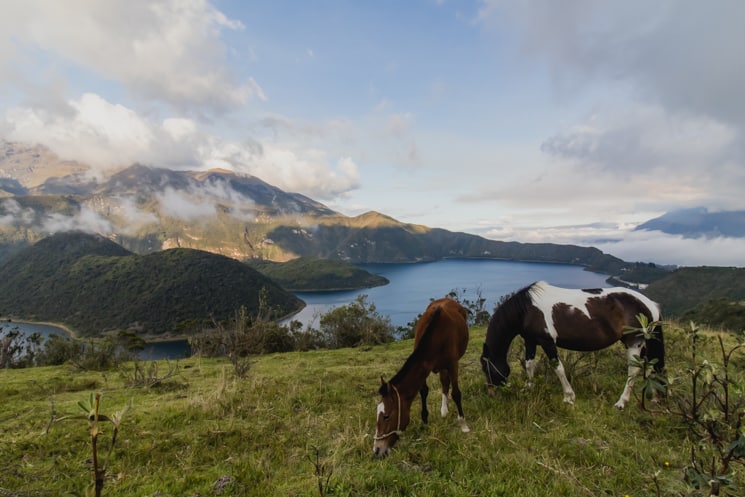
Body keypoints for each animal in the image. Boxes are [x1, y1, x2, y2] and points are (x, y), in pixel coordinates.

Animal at [372, 296, 470, 456]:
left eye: (386, 416)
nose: (377, 449)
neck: (437, 335)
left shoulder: (453, 364)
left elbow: (456, 393)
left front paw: (463, 423)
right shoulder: (424, 367)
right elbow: (423, 391)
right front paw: (424, 422)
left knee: (446, 383)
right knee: (444, 382)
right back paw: (444, 410)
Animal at [480, 280, 664, 408]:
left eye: (487, 368)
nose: (490, 393)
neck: (526, 309)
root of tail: (651, 304)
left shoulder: (547, 342)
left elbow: (558, 367)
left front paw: (568, 397)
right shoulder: (531, 340)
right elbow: (529, 365)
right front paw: (528, 388)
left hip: (634, 342)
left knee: (633, 370)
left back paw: (622, 402)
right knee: (651, 366)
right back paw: (655, 397)